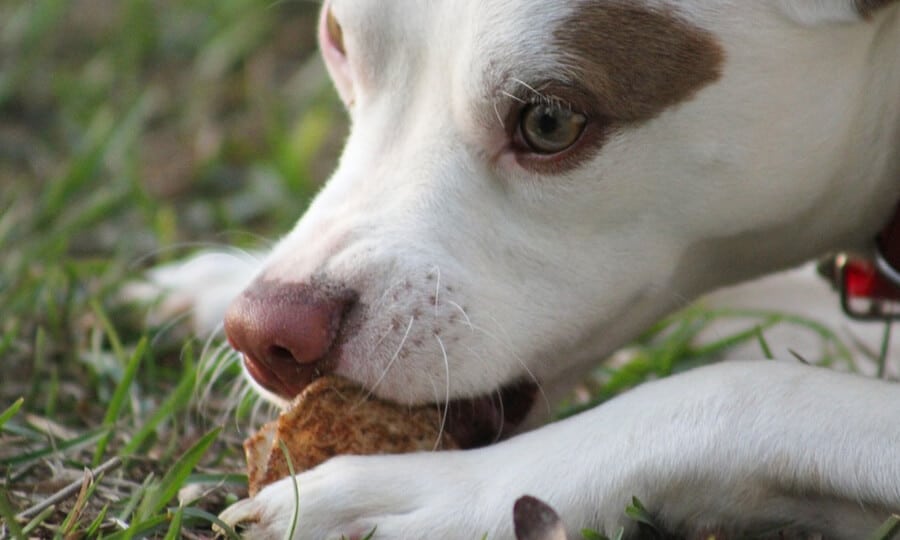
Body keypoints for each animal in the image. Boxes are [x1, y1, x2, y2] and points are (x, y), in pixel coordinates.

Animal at [149, 1, 900, 536]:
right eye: (337, 38)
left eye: (549, 121)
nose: (265, 333)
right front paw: (219, 281)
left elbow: (744, 390)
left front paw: (432, 493)